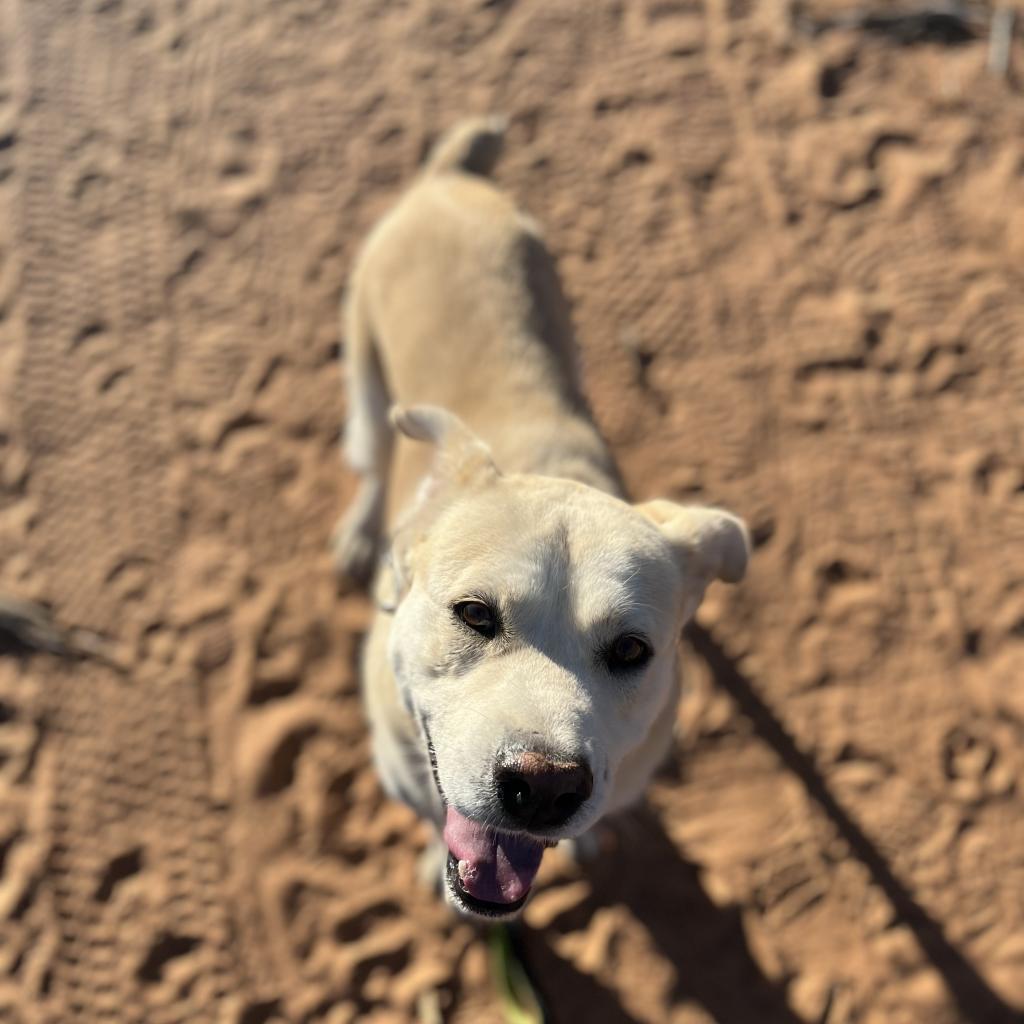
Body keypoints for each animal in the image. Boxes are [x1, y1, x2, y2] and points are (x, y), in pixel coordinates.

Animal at [331, 117, 749, 921]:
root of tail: (450, 178)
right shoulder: (402, 767)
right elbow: (433, 815)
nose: (545, 786)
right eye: (473, 614)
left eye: (631, 651)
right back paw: (363, 531)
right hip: (366, 377)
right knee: (369, 456)